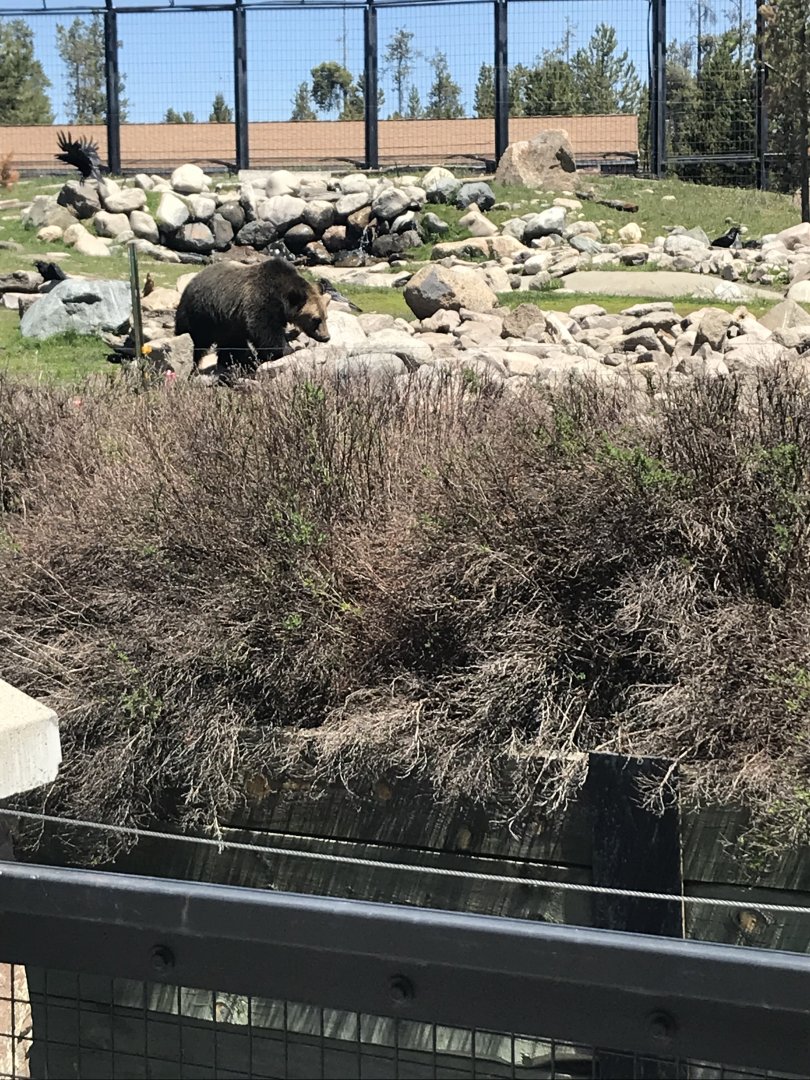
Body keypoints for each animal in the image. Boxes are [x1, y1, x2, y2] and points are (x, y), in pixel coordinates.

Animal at [174, 257, 331, 374]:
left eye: (325, 317)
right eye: (315, 319)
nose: (326, 337)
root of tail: (191, 281)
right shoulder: (260, 302)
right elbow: (266, 331)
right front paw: (286, 350)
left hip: (226, 323)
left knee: (231, 344)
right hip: (200, 315)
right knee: (196, 342)